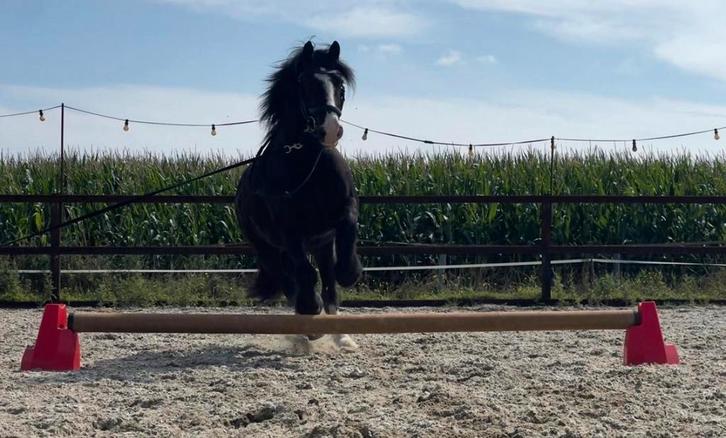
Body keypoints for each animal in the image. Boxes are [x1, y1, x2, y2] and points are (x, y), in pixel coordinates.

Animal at [234, 41, 363, 349]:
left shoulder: (344, 211)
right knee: (290, 280)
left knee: (328, 282)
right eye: (305, 84)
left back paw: (341, 336)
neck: (307, 160)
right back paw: (306, 326)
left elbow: (346, 238)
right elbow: (305, 274)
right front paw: (310, 312)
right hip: (269, 250)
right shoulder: (289, 231)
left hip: (321, 244)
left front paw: (350, 272)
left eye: (339, 85)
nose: (330, 130)